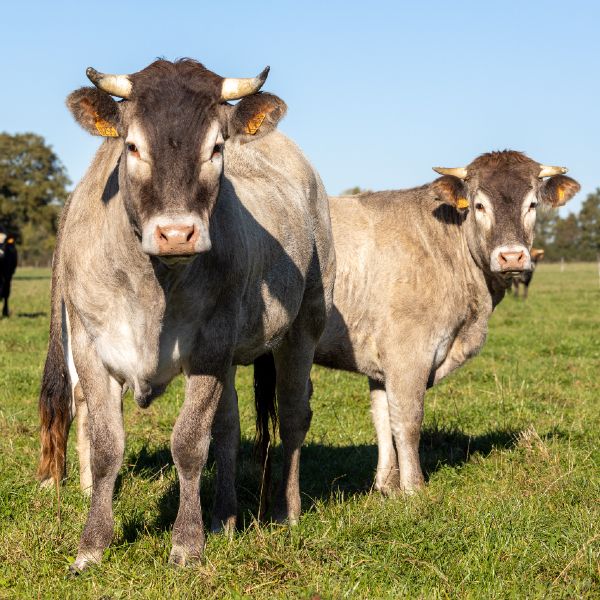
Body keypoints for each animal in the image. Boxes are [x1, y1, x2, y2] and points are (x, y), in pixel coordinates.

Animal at [36, 59, 338, 572]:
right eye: (132, 145)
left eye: (216, 146)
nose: (177, 233)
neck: (152, 286)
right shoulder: (92, 349)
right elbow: (106, 447)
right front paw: (92, 546)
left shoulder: (209, 348)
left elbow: (190, 443)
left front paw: (187, 542)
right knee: (230, 428)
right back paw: (225, 517)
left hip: (304, 324)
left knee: (294, 414)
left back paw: (286, 509)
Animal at [312, 151, 580, 496]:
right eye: (479, 205)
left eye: (532, 204)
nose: (512, 257)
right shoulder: (407, 352)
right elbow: (408, 419)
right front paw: (414, 489)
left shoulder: (380, 362)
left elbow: (383, 419)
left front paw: (386, 485)